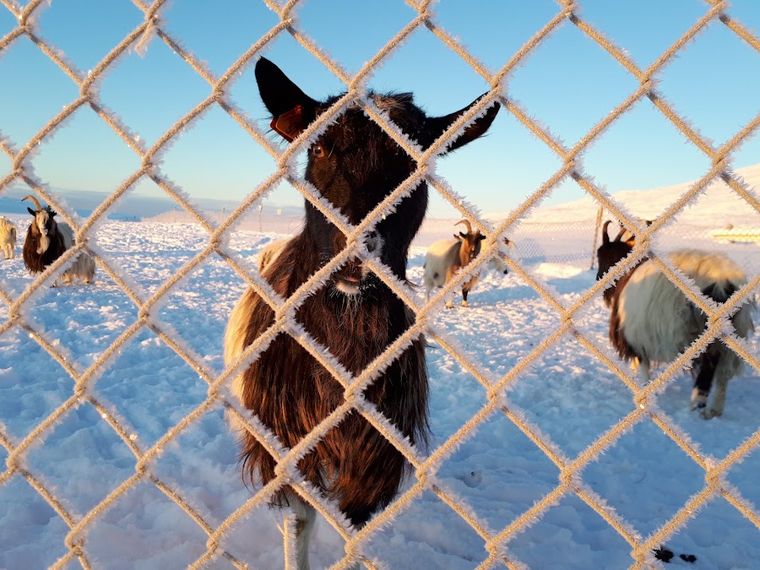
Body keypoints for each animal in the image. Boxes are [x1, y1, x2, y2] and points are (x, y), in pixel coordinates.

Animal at [224, 57, 499, 569]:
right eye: (319, 147)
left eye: (413, 160)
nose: (356, 249)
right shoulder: (286, 445)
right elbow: (298, 520)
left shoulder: (376, 456)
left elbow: (353, 529)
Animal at [596, 220, 755, 418]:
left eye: (602, 256)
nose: (599, 280)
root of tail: (722, 280)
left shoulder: (636, 334)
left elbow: (642, 365)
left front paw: (644, 391)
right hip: (731, 332)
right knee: (722, 373)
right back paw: (714, 410)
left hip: (706, 331)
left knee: (710, 363)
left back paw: (696, 404)